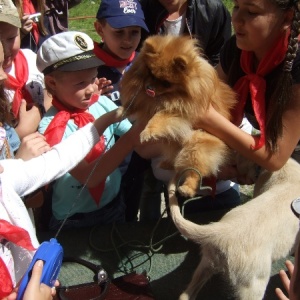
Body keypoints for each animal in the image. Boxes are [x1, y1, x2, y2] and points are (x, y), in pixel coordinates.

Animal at [119, 35, 237, 197]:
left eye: (166, 83)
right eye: (150, 73)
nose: (149, 88)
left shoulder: (179, 111)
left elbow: (159, 117)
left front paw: (148, 131)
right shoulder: (144, 100)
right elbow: (133, 105)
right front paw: (121, 111)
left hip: (197, 145)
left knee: (194, 170)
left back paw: (187, 188)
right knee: (177, 161)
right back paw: (168, 163)